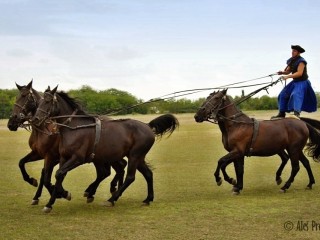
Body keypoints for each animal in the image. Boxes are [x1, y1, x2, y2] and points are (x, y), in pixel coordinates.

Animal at [31, 85, 180, 213]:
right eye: (39, 102)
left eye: (48, 101)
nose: (36, 119)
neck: (75, 128)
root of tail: (147, 125)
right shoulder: (64, 158)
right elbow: (59, 175)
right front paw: (53, 201)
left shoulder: (77, 159)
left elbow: (59, 174)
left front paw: (59, 197)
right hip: (138, 158)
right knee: (148, 174)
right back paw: (148, 199)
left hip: (134, 156)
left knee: (130, 177)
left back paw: (111, 199)